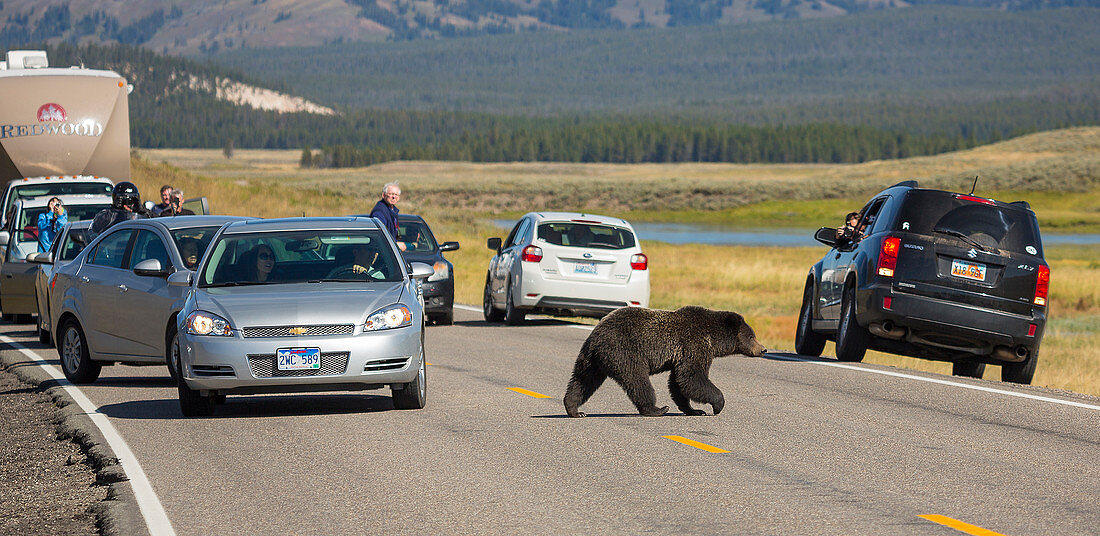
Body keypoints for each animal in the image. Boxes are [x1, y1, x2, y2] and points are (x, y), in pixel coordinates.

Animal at [567, 305, 765, 420]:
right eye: (751, 336)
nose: (763, 349)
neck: (713, 338)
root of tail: (596, 334)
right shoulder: (694, 345)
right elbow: (692, 377)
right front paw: (717, 405)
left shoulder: (682, 355)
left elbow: (678, 382)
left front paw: (694, 410)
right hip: (625, 352)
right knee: (638, 381)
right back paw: (657, 409)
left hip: (591, 360)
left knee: (582, 381)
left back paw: (575, 409)